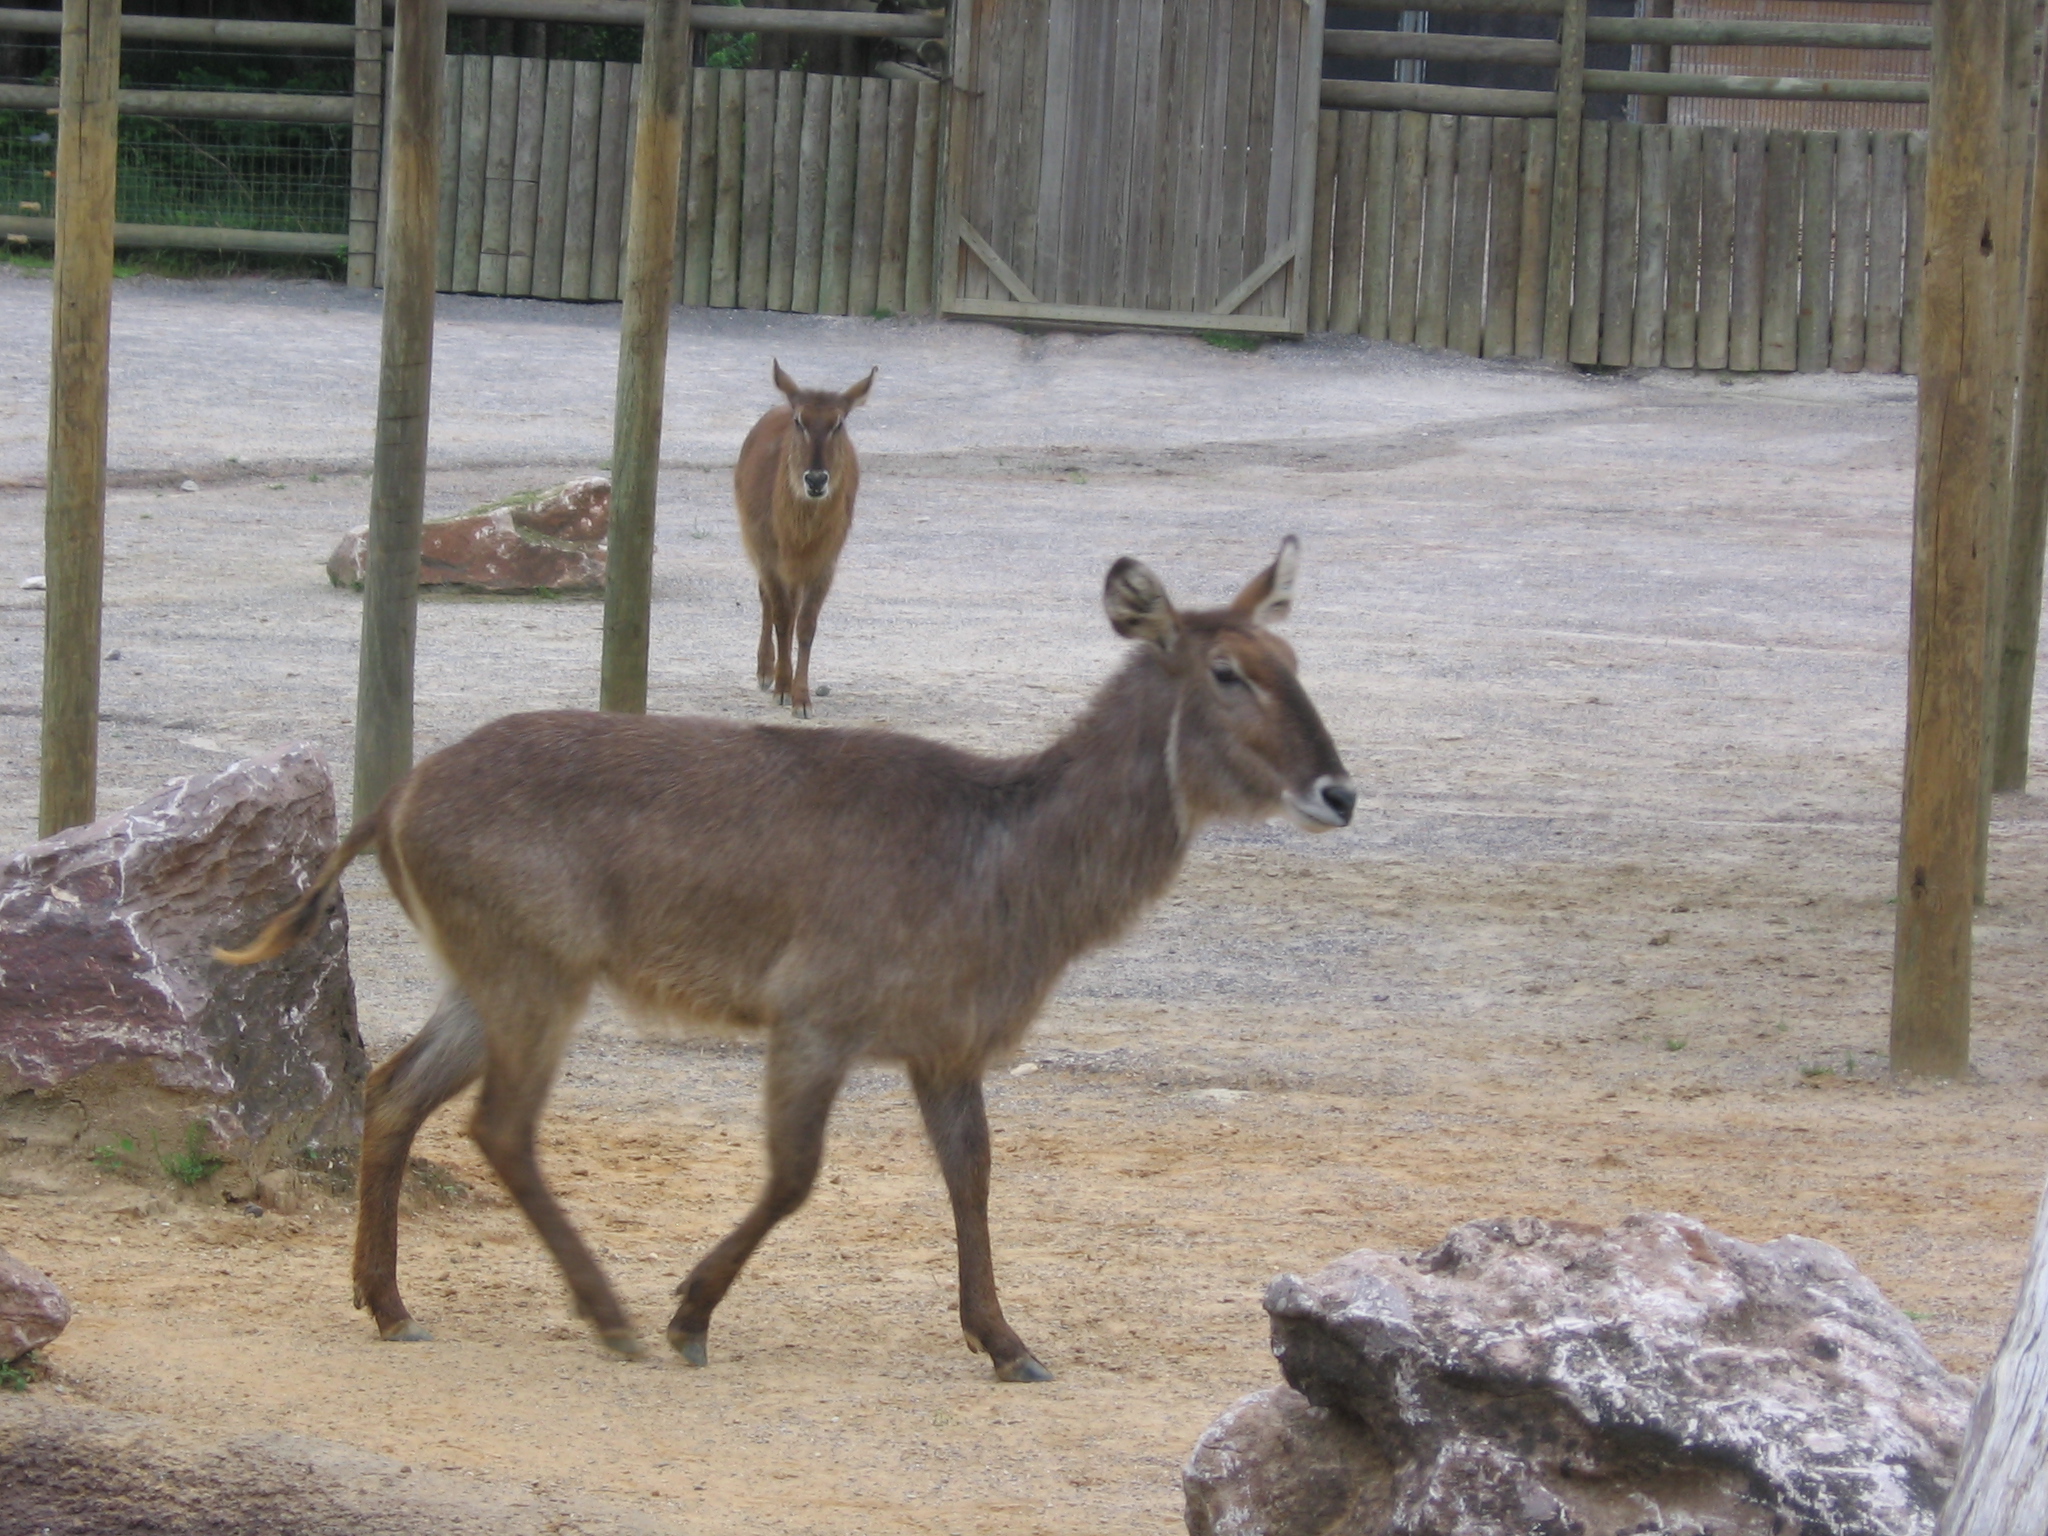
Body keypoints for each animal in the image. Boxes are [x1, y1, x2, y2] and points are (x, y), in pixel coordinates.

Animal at [216, 536, 1351, 1384]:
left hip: (486, 977)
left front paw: (1007, 1343)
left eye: (1298, 664)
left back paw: (389, 1302)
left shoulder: (945, 1045)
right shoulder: (816, 1012)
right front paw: (689, 1315)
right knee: (499, 1125)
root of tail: (390, 804)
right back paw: (610, 1316)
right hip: (537, 969)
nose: (1338, 791)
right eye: (1228, 672)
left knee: (391, 1088)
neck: (1005, 870)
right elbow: (798, 1175)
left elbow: (973, 1175)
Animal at [733, 362, 876, 720]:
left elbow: (806, 625)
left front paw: (803, 698)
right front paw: (783, 688)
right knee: (768, 600)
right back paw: (765, 672)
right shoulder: (769, 554)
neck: (800, 532)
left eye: (839, 422)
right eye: (800, 421)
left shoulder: (824, 562)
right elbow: (783, 618)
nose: (815, 479)